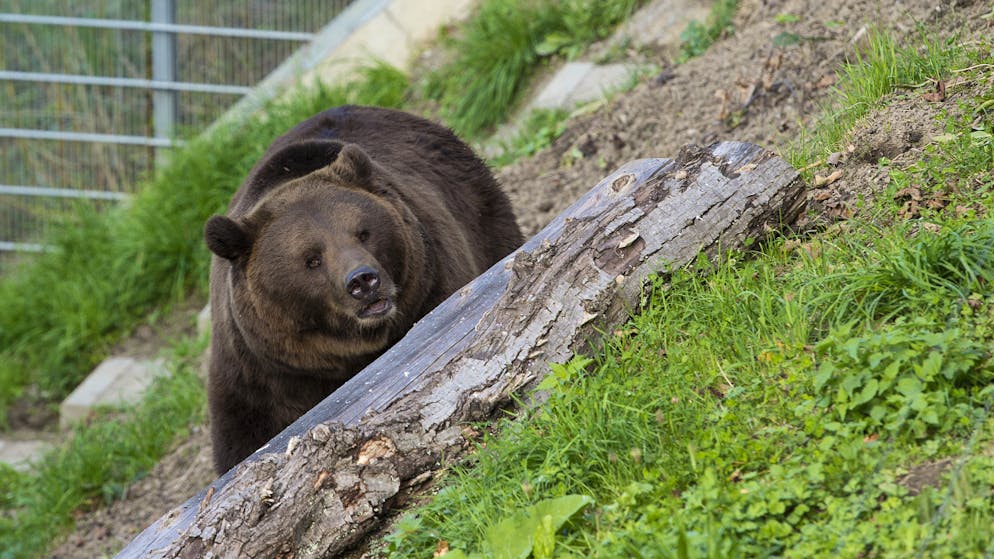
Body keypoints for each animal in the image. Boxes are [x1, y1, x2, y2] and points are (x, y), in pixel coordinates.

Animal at [204, 105, 523, 473]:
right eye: (311, 259)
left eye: (362, 232)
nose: (362, 281)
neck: (344, 357)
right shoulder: (258, 379)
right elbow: (243, 441)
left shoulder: (436, 287)